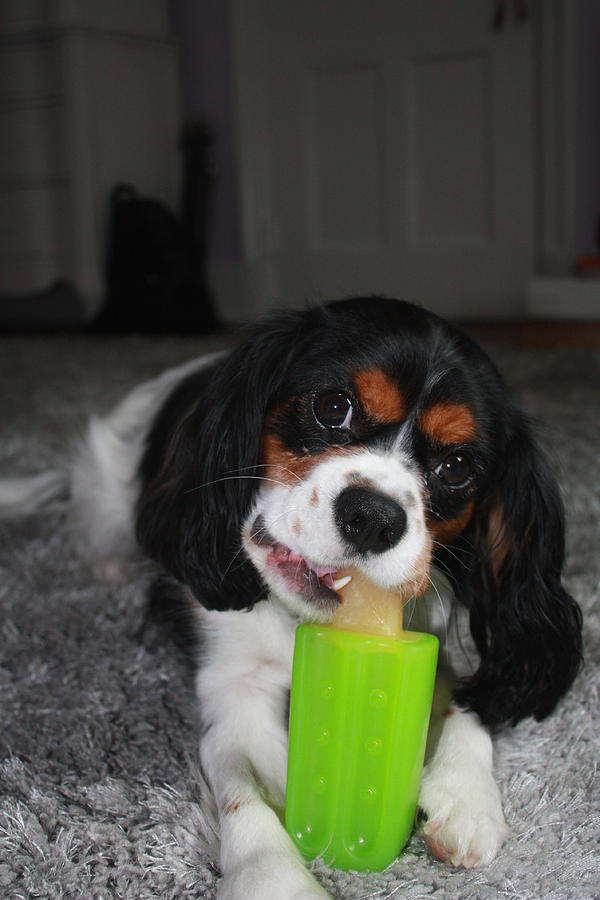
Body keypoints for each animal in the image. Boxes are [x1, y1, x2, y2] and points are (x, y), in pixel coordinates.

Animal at [0, 298, 580, 896]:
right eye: (332, 406)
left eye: (457, 467)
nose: (374, 517)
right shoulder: (232, 689)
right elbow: (243, 787)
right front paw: (274, 875)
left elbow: (468, 699)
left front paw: (466, 797)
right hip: (104, 489)